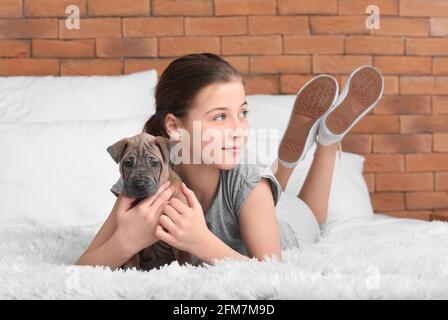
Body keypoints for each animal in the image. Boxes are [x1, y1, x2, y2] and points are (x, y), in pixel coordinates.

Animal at [106, 132, 204, 270]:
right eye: (128, 163)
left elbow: (184, 257)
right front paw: (131, 271)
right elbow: (131, 257)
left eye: (154, 163)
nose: (140, 184)